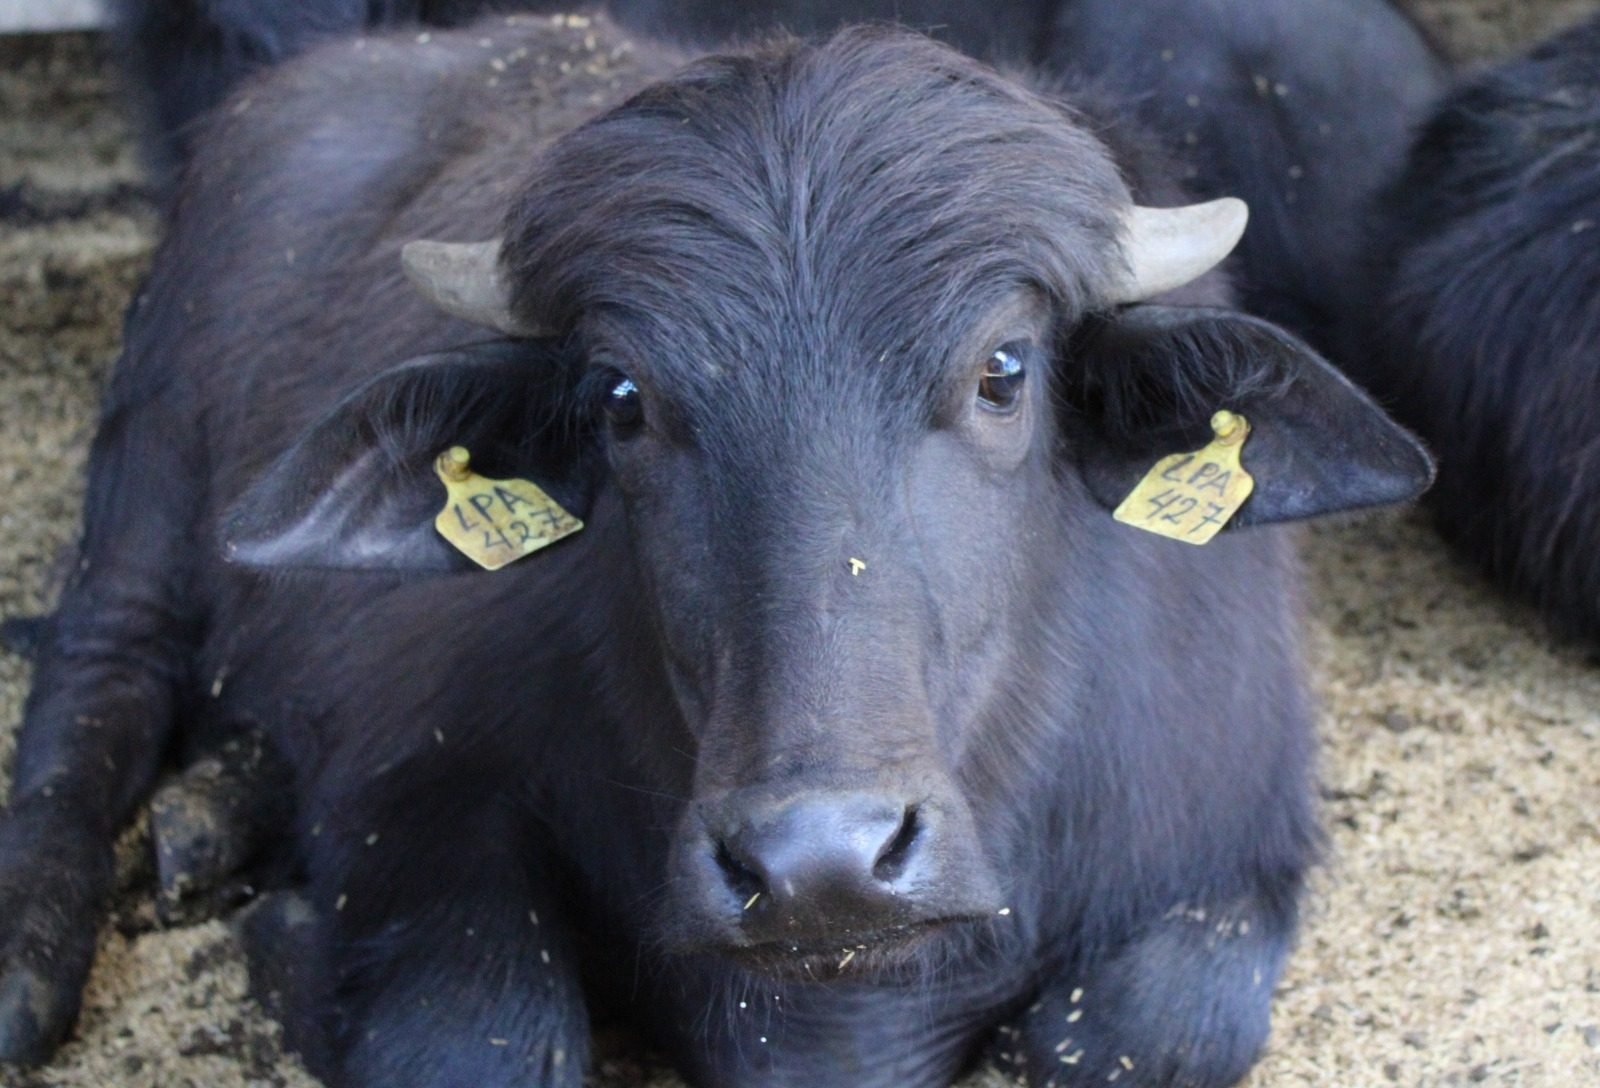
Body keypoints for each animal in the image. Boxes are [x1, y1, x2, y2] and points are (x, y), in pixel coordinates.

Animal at [0, 14, 1431, 1086]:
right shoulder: (419, 797)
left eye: (1003, 370)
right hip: (152, 447)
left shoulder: (1230, 844)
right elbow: (487, 1039)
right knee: (97, 679)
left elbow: (1127, 1038)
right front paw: (289, 937)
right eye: (625, 399)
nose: (820, 864)